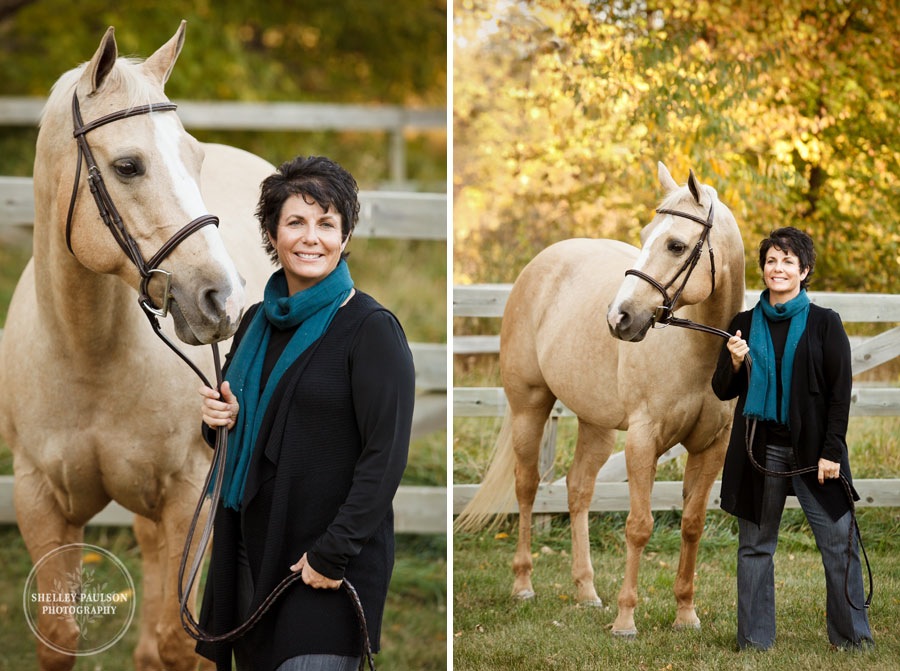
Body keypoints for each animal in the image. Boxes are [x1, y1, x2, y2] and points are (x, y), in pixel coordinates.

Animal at [0, 23, 272, 668]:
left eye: (194, 158)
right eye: (128, 166)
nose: (223, 300)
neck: (85, 354)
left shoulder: (192, 496)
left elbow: (180, 644)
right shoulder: (39, 499)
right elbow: (59, 639)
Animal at [458, 165, 744, 636]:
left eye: (676, 244)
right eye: (645, 235)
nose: (618, 318)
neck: (698, 353)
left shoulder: (711, 446)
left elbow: (692, 524)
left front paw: (686, 614)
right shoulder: (643, 441)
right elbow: (639, 526)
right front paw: (626, 620)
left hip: (597, 424)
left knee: (578, 490)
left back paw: (586, 591)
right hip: (529, 407)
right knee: (526, 486)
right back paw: (523, 584)